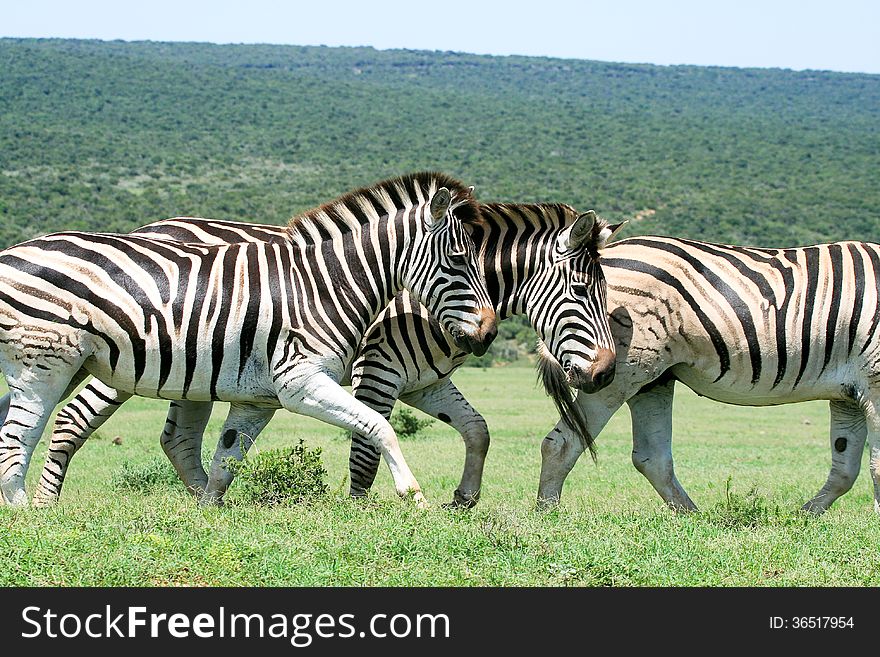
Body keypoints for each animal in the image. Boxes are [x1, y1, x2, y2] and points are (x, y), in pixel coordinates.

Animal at [0, 172, 496, 504]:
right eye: (458, 259)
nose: (489, 333)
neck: (326, 285)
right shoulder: (301, 381)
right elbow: (379, 427)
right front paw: (413, 496)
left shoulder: (257, 397)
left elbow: (227, 457)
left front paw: (207, 514)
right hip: (48, 365)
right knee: (22, 436)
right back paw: (31, 514)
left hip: (66, 367)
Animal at [29, 202, 620, 504]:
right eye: (580, 293)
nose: (606, 373)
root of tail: (147, 226)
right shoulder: (378, 372)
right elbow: (366, 449)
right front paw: (361, 510)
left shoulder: (426, 380)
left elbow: (477, 430)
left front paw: (464, 497)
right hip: (127, 361)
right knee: (74, 419)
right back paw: (44, 502)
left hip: (195, 372)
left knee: (178, 438)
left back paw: (203, 500)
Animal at [524, 233, 880, 516]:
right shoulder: (874, 384)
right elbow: (875, 465)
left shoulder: (848, 396)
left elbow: (845, 469)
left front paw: (807, 515)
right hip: (614, 377)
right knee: (561, 442)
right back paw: (548, 515)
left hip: (652, 379)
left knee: (651, 458)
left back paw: (692, 516)